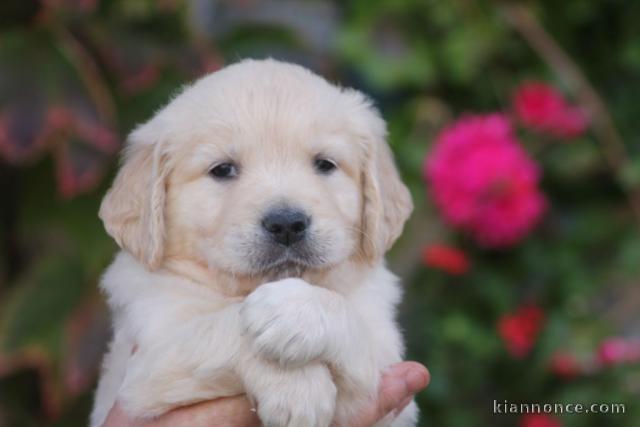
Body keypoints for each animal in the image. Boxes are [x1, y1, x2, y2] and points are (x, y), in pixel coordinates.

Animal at [91, 57, 416, 427]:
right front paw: (299, 390)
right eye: (222, 170)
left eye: (325, 164)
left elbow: (346, 314)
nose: (287, 224)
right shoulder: (146, 365)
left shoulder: (381, 364)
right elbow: (213, 327)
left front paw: (290, 310)